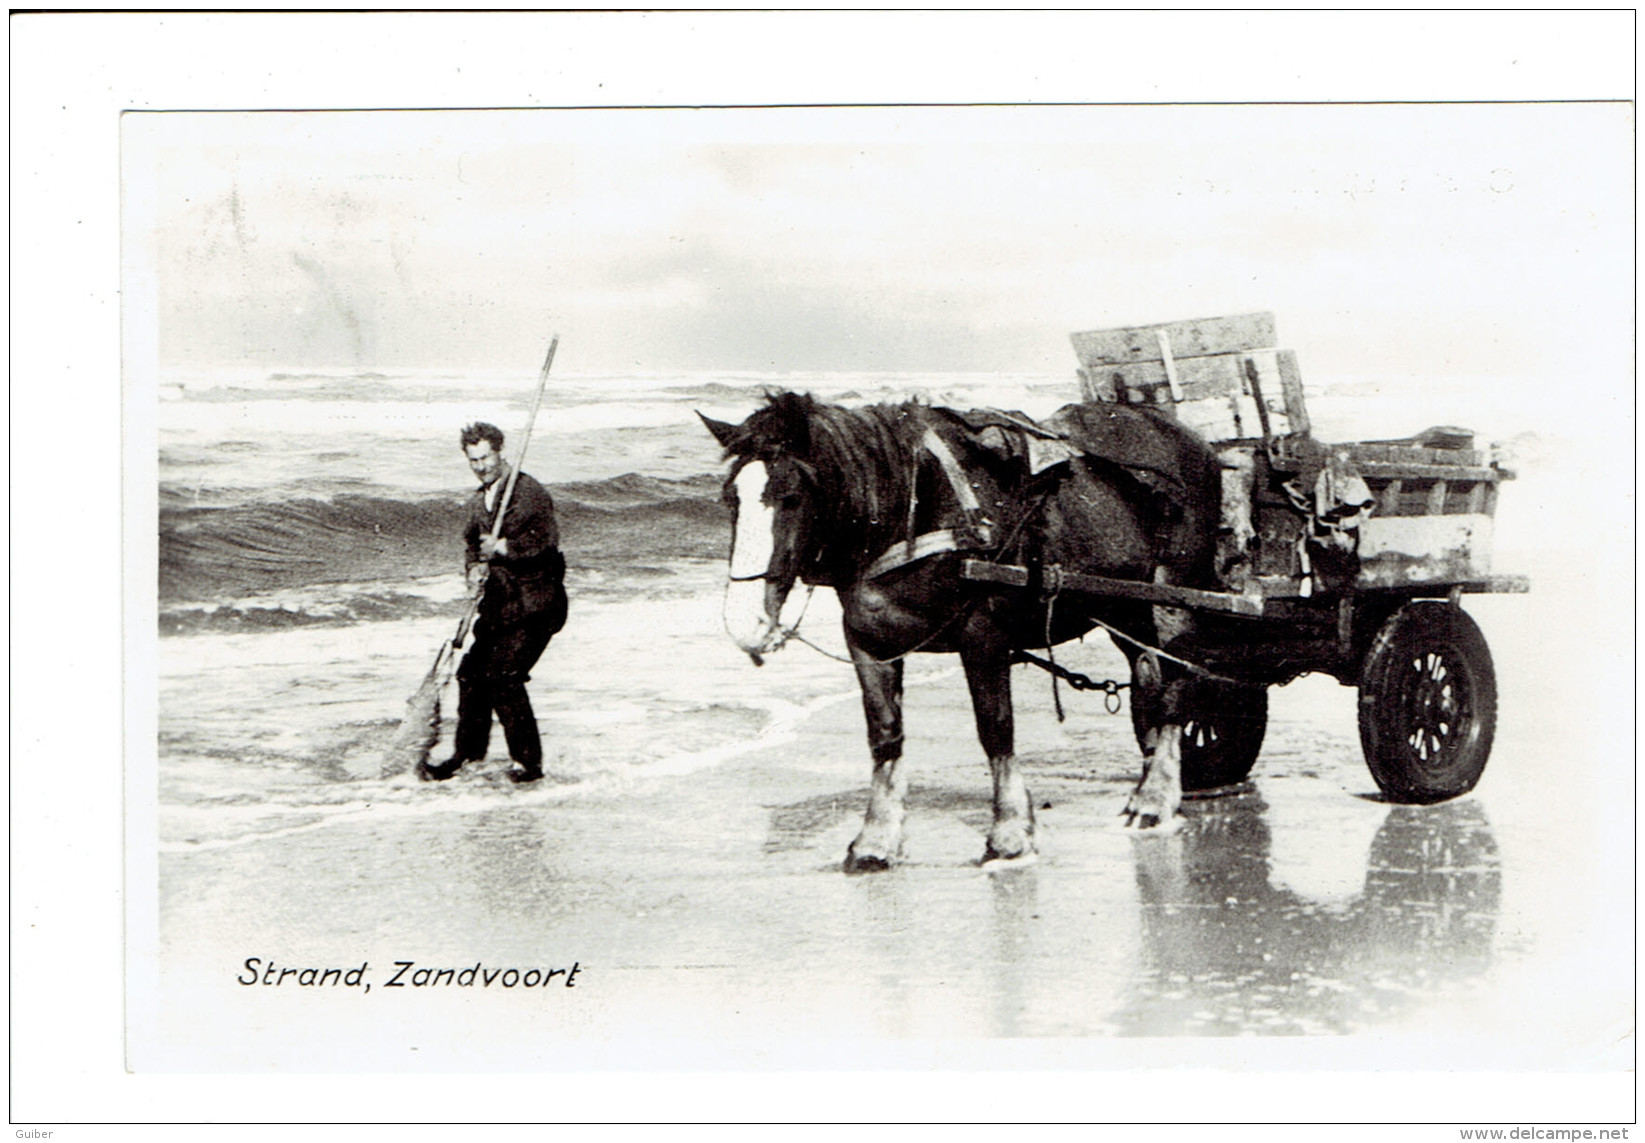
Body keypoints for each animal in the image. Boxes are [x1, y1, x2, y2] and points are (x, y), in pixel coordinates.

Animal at [700, 393, 1230, 874]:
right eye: (731, 499)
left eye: (791, 497)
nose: (744, 622)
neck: (918, 510)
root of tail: (1181, 432)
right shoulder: (869, 643)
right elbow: (884, 735)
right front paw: (876, 839)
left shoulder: (983, 635)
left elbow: (995, 728)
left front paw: (1010, 834)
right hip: (1124, 609)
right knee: (1149, 681)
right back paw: (1148, 789)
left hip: (1171, 599)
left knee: (1177, 686)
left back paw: (1156, 799)